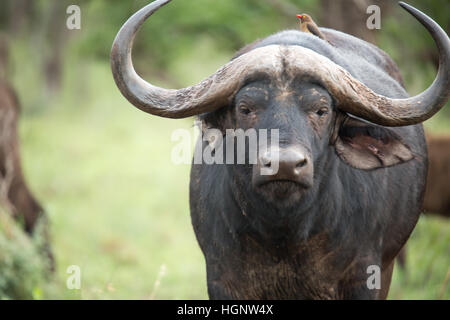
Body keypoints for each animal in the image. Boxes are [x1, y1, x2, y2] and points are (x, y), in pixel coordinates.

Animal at [110, 0, 448, 300]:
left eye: (321, 110)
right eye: (245, 108)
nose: (284, 165)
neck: (285, 233)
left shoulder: (366, 278)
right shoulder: (222, 279)